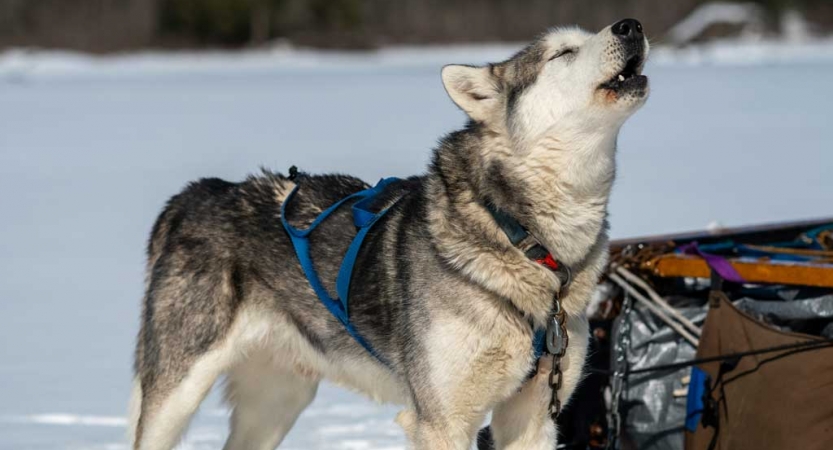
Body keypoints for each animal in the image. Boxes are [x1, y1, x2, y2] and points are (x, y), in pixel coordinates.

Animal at [130, 18, 648, 450]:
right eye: (563, 52)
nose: (631, 24)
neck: (524, 237)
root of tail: (197, 193)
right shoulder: (441, 422)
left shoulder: (532, 418)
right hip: (177, 393)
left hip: (277, 400)